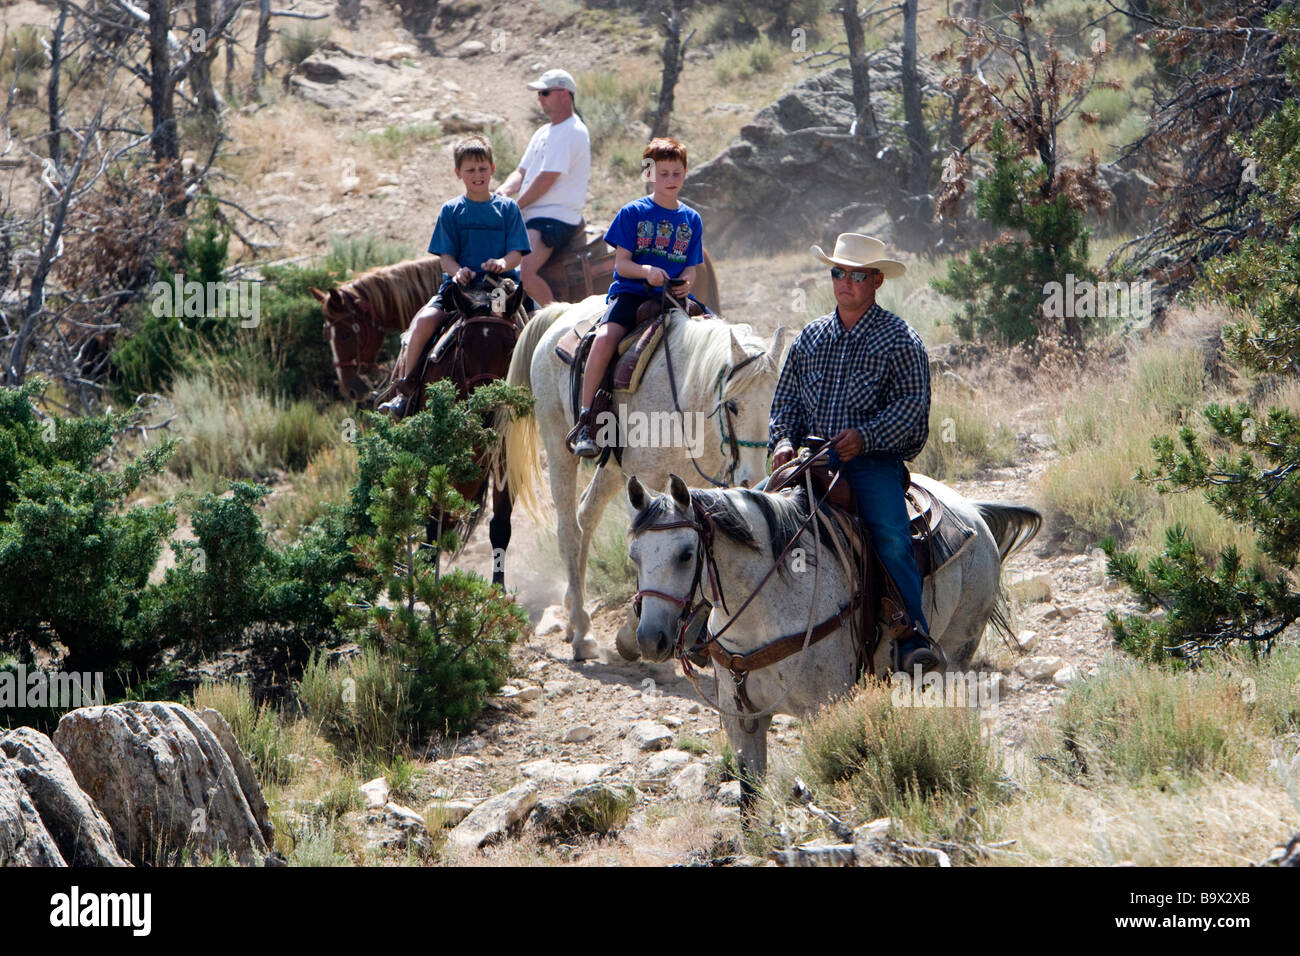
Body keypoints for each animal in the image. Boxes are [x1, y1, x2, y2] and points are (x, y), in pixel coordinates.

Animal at [496, 295, 785, 660]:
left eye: (774, 404)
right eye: (732, 405)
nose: (752, 478)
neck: (685, 399)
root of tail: (562, 312)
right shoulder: (645, 481)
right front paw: (632, 635)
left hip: (612, 468)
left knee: (586, 515)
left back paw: (574, 611)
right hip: (560, 446)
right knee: (569, 530)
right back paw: (583, 633)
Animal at [624, 476, 1040, 811]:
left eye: (685, 554)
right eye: (634, 555)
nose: (650, 639)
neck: (765, 608)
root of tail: (974, 511)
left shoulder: (822, 712)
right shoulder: (741, 720)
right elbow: (749, 799)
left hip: (955, 653)